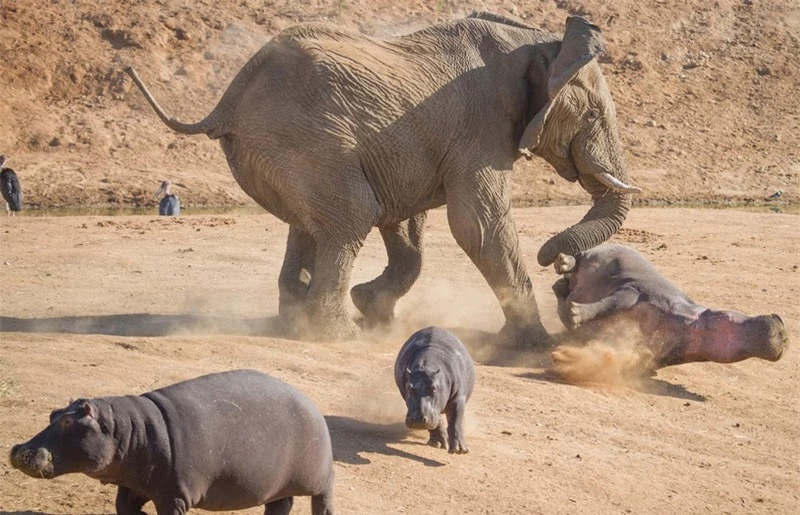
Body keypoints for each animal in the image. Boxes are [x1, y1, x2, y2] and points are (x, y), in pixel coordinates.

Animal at [10, 370, 334, 515]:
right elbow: (124, 508)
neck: (127, 429)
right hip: (276, 484)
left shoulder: (174, 496)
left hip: (318, 476)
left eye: (67, 422)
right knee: (281, 504)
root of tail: (311, 402)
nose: (19, 449)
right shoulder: (131, 486)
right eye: (53, 413)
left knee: (324, 496)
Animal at [125, 12, 636, 348]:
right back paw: (336, 336)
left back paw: (297, 323)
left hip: (283, 150)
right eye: (593, 114)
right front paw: (535, 346)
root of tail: (228, 99)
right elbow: (476, 224)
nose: (558, 261)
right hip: (306, 140)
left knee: (309, 226)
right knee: (350, 217)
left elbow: (407, 224)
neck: (537, 42)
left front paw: (375, 310)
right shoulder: (481, 126)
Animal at [552, 245, 788, 370]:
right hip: (599, 253)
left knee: (560, 285)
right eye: (722, 316)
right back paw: (562, 261)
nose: (779, 325)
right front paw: (575, 314)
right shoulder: (636, 290)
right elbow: (612, 302)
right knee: (578, 259)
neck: (688, 322)